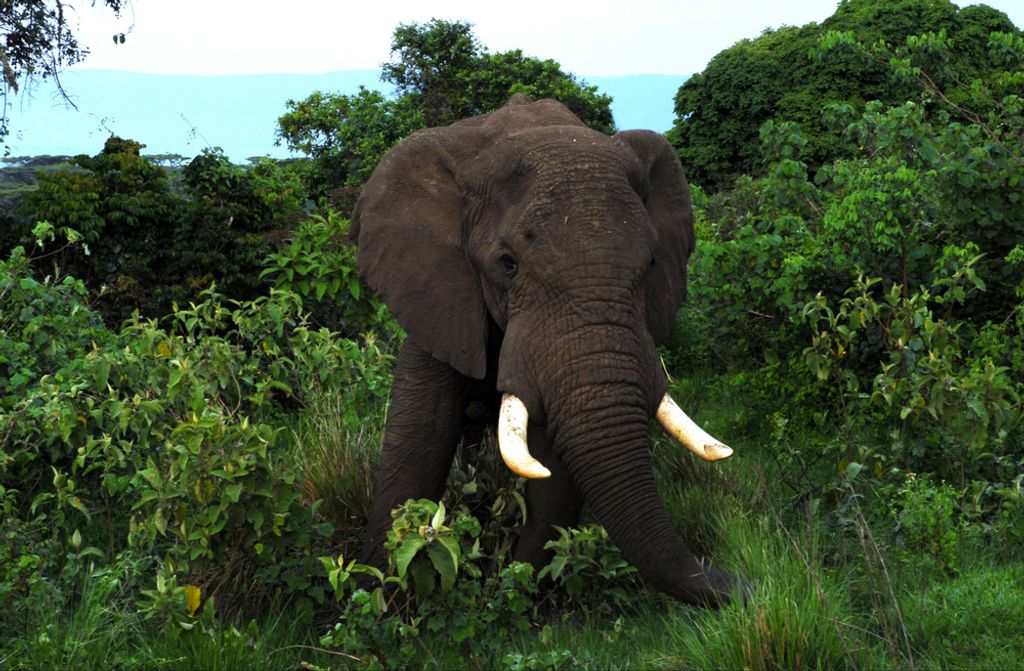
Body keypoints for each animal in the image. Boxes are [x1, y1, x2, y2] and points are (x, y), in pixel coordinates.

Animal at [349, 93, 742, 607]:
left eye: (653, 261)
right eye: (507, 265)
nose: (749, 585)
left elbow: (554, 463)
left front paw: (516, 583)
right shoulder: (435, 288)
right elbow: (421, 436)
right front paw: (376, 594)